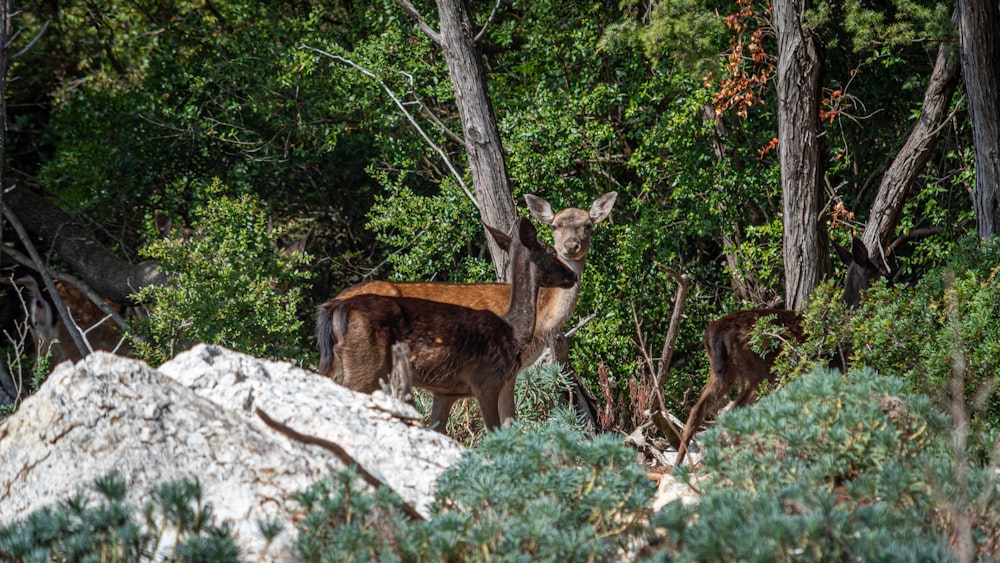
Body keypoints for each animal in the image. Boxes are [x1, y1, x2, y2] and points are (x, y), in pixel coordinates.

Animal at [676, 236, 888, 464]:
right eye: (880, 270)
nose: (892, 280)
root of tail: (714, 332)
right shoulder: (836, 367)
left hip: (722, 372)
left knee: (698, 410)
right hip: (755, 372)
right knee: (731, 412)